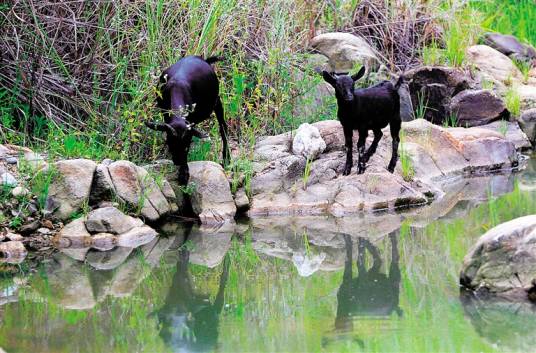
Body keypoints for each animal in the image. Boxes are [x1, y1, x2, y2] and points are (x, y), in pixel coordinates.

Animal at [146, 55, 229, 184]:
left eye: (185, 145)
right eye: (171, 142)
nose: (177, 161)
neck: (176, 87)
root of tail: (204, 60)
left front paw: (184, 175)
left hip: (217, 101)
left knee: (223, 127)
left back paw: (226, 159)